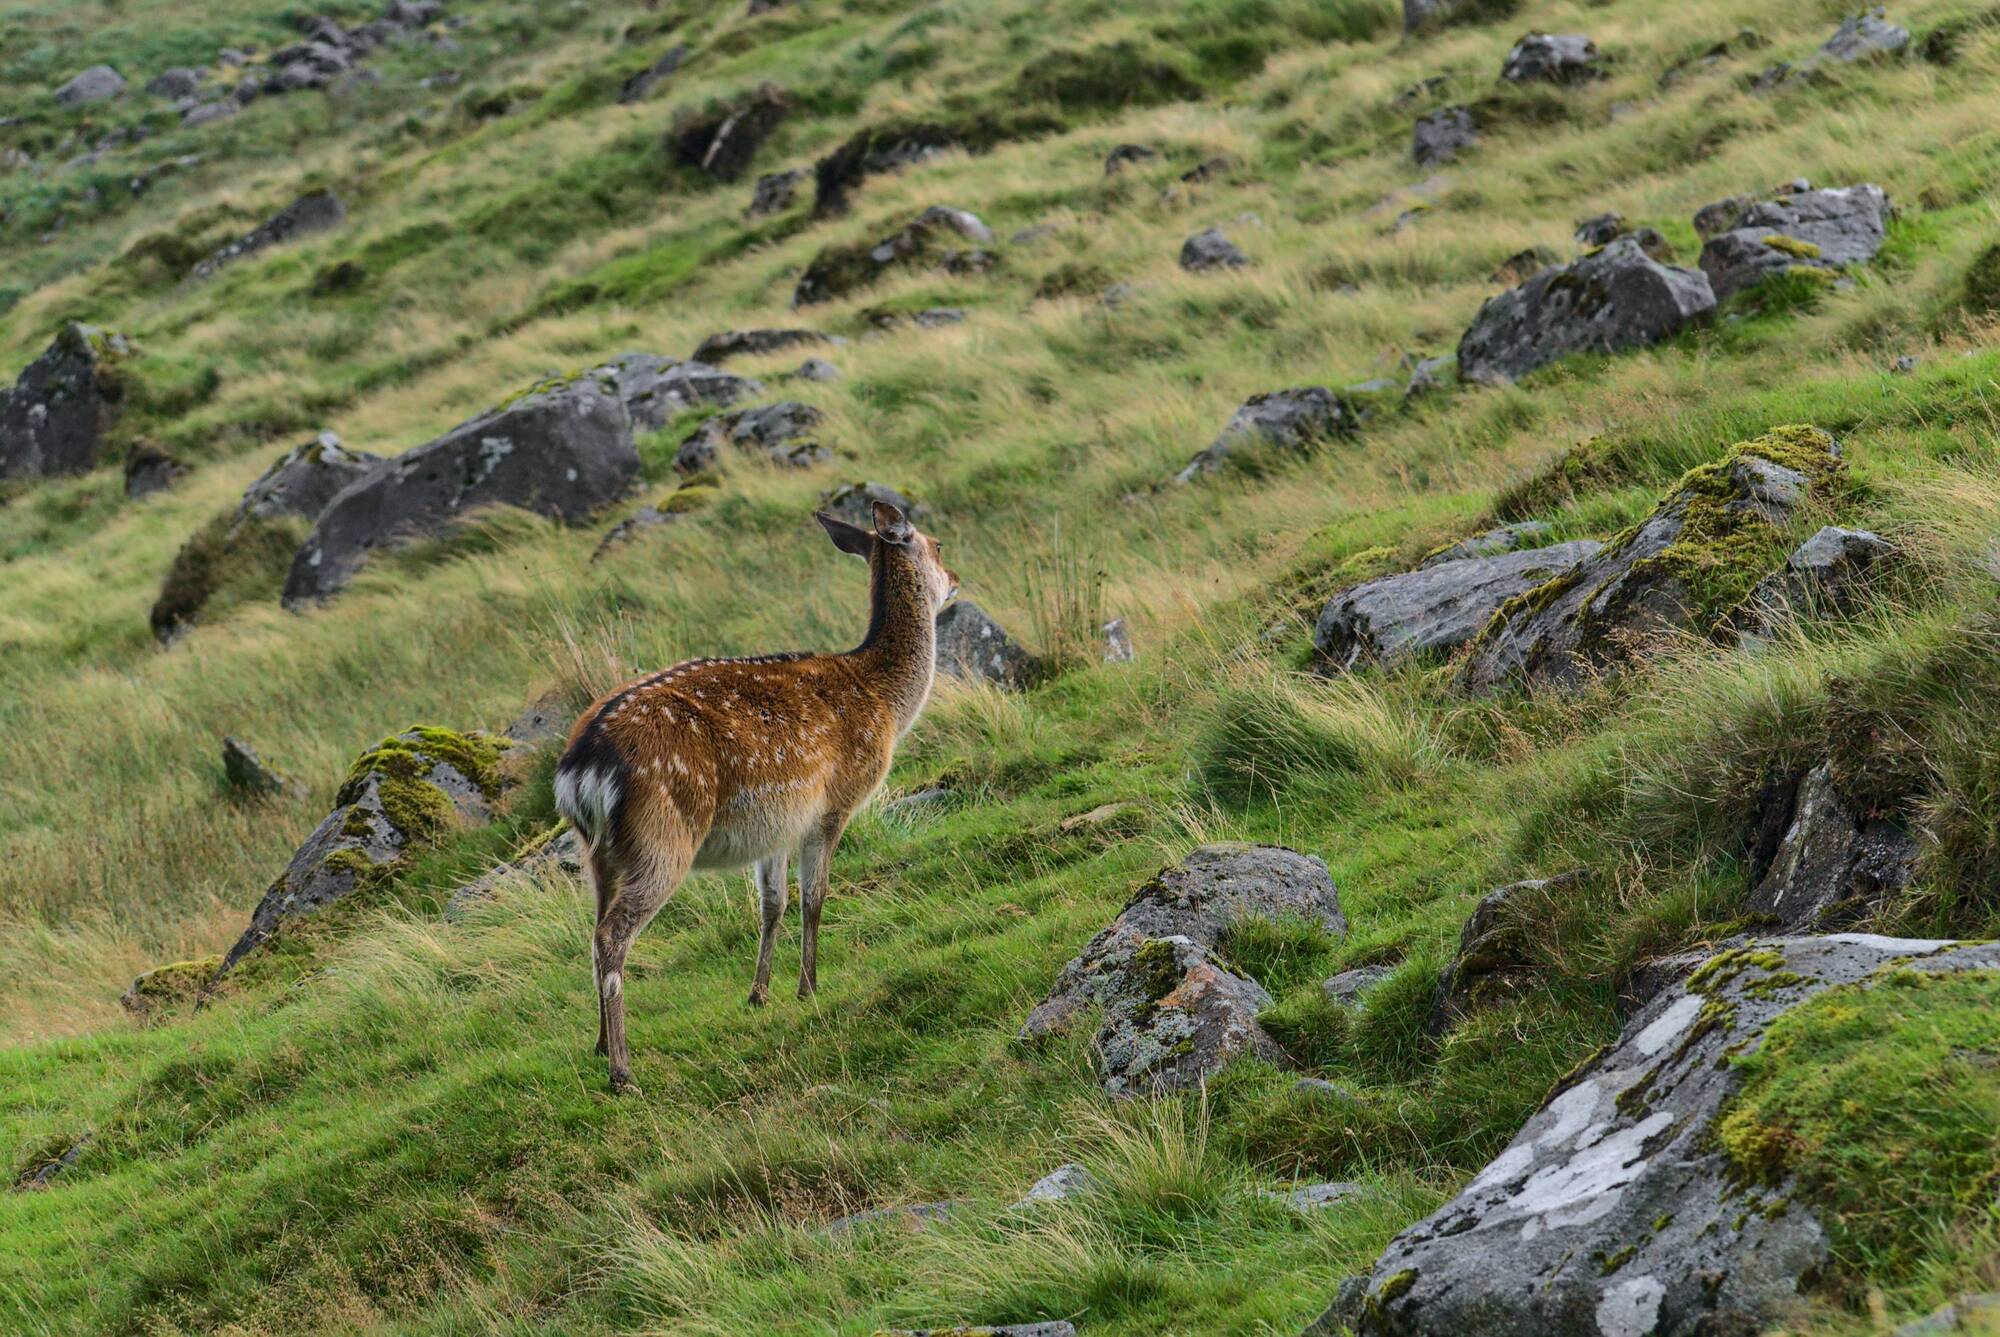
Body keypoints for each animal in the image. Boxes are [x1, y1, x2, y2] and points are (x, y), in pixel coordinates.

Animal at [554, 501, 957, 1093]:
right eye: (937, 546)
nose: (956, 581)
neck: (884, 703)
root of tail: (580, 766)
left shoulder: (777, 826)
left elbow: (773, 904)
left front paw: (759, 994)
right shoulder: (833, 805)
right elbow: (815, 897)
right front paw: (809, 986)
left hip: (597, 852)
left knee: (593, 929)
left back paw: (601, 1043)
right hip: (661, 838)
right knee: (612, 936)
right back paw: (623, 1072)